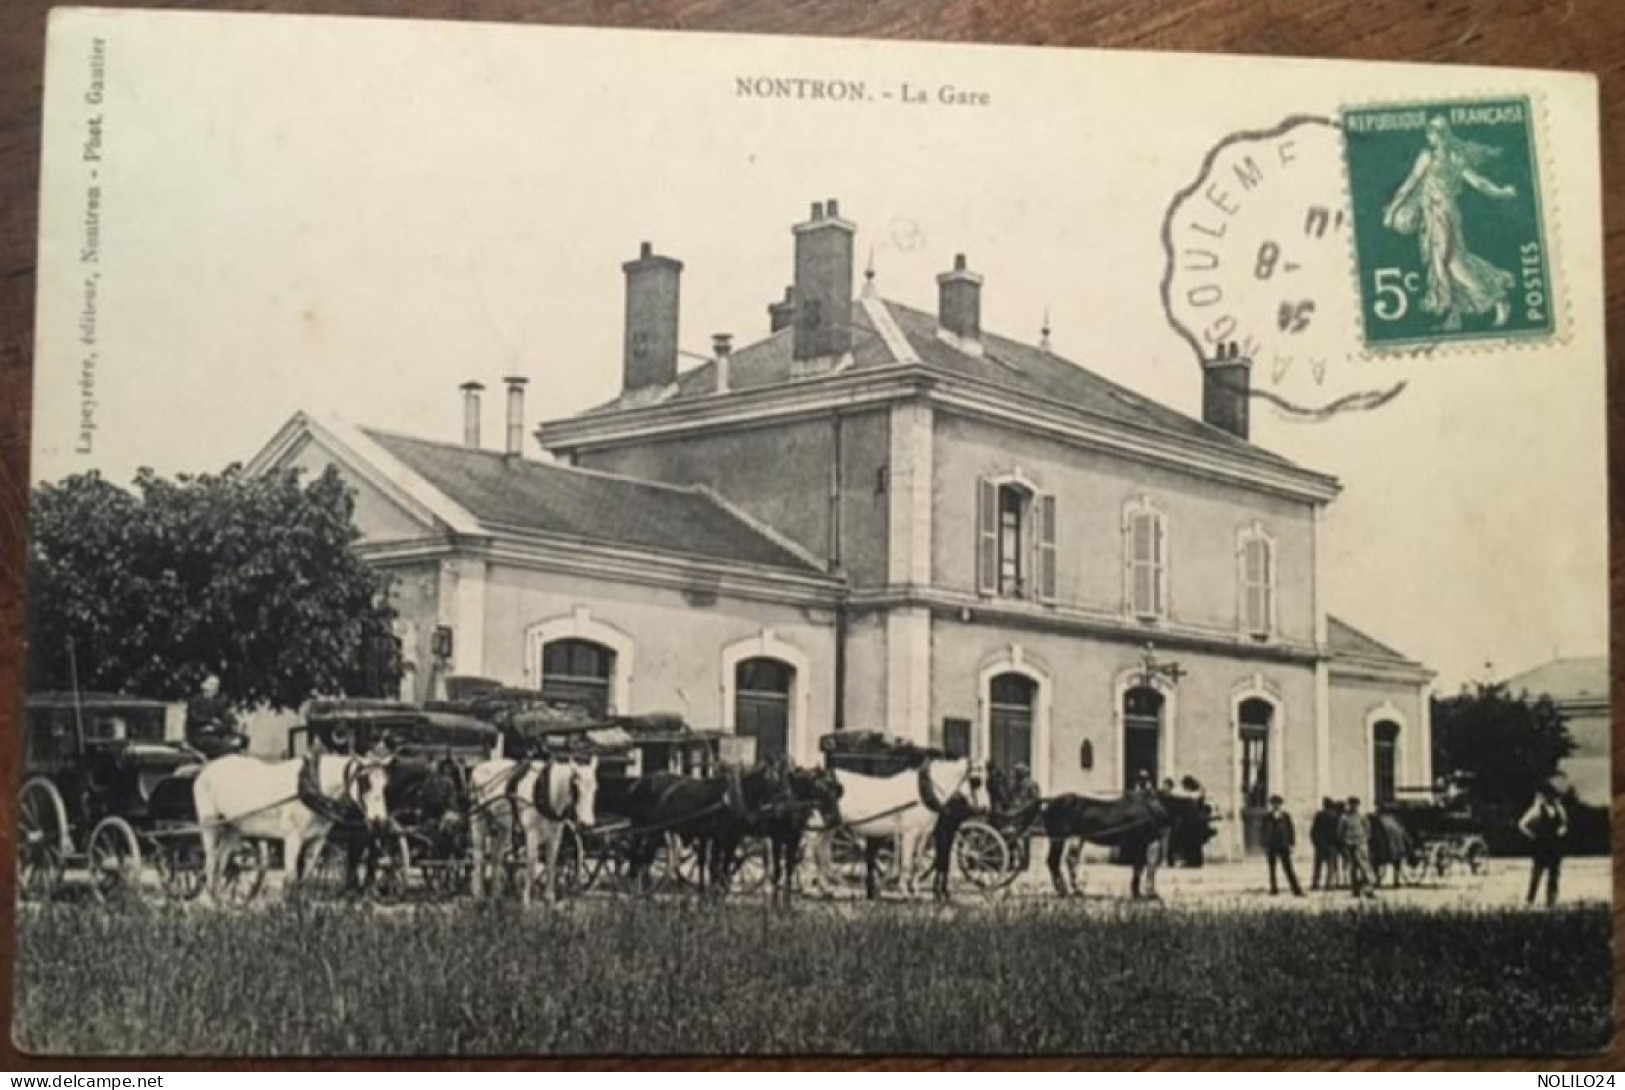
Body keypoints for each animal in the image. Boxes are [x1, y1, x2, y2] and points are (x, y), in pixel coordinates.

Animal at [190, 753, 390, 896]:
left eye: (384, 785)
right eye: (365, 783)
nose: (379, 820)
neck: (312, 787)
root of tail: (206, 770)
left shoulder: (317, 840)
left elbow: (306, 878)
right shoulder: (293, 839)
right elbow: (291, 880)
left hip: (233, 830)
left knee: (221, 864)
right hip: (210, 826)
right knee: (210, 864)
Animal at [468, 753, 601, 909]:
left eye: (595, 788)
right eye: (576, 788)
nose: (587, 824)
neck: (547, 791)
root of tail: (479, 767)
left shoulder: (555, 835)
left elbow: (551, 864)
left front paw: (549, 900)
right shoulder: (531, 833)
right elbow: (532, 864)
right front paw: (527, 902)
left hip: (502, 827)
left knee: (496, 857)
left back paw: (495, 896)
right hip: (478, 819)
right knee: (479, 856)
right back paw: (480, 896)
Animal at [617, 763, 789, 896]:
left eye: (784, 778)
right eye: (775, 781)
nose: (787, 798)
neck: (730, 800)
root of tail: (637, 784)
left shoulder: (731, 840)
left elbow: (723, 867)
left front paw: (720, 892)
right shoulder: (718, 838)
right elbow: (714, 866)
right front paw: (713, 893)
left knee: (642, 857)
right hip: (650, 829)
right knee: (641, 856)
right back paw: (640, 887)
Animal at [825, 760, 975, 903]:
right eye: (975, 780)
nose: (978, 808)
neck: (922, 793)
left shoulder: (924, 834)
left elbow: (918, 862)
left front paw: (917, 892)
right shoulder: (910, 833)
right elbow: (907, 863)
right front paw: (904, 892)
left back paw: (827, 888)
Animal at [1046, 789, 1215, 896]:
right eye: (1200, 811)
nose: (1211, 833)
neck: (1153, 808)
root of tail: (1051, 803)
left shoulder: (1150, 840)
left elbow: (1150, 865)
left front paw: (1147, 891)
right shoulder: (1140, 841)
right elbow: (1140, 865)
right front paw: (1139, 891)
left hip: (1073, 838)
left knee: (1061, 861)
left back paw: (1066, 889)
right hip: (1061, 838)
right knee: (1059, 861)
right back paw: (1070, 890)